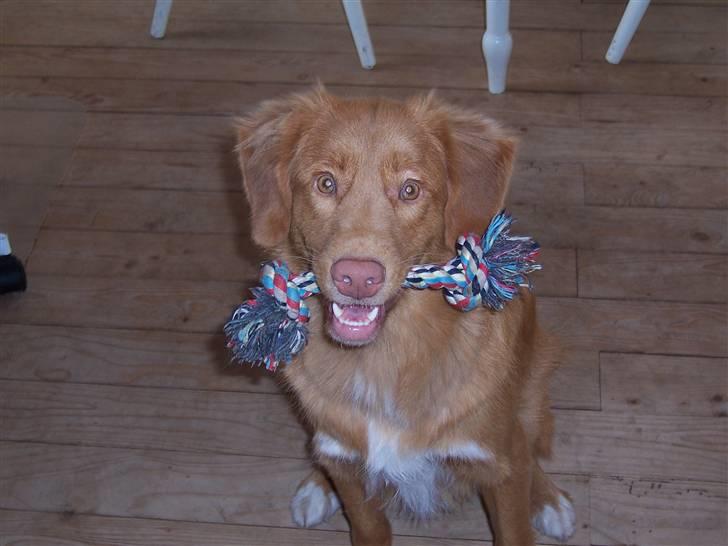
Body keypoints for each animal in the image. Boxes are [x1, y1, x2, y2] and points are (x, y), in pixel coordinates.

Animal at [236, 88, 576, 544]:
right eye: (325, 183)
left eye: (411, 189)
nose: (356, 278)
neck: (384, 359)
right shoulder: (355, 479)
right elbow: (368, 526)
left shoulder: (498, 465)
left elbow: (513, 524)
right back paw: (317, 484)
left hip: (534, 387)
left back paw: (549, 500)